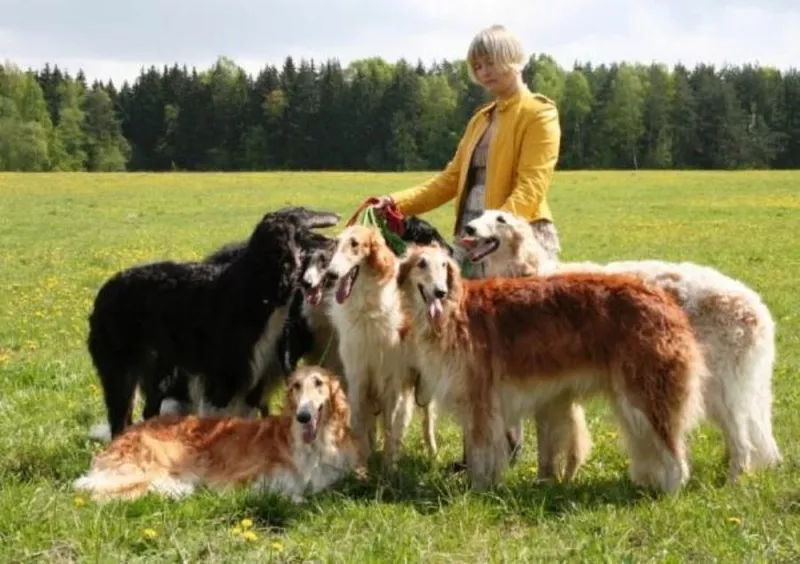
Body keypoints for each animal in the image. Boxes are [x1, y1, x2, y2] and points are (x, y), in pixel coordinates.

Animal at [73, 364, 364, 504]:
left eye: (319, 383)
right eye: (295, 387)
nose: (303, 416)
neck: (312, 447)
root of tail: (126, 433)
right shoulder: (239, 481)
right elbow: (290, 495)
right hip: (149, 468)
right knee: (95, 494)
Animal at [86, 205, 340, 438]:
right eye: (303, 215)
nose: (337, 217)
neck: (258, 287)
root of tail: (104, 291)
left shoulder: (252, 380)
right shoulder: (223, 379)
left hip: (159, 371)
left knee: (148, 412)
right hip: (121, 373)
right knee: (120, 421)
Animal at [322, 225, 440, 468]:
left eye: (355, 244)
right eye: (336, 243)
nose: (330, 275)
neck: (367, 311)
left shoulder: (390, 380)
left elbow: (389, 426)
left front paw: (388, 466)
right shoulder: (358, 376)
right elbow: (360, 423)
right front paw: (361, 466)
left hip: (423, 385)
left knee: (426, 421)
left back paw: (431, 454)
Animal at [398, 246, 708, 494]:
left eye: (444, 266)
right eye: (421, 263)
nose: (439, 292)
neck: (453, 314)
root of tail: (664, 300)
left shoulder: (480, 400)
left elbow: (480, 454)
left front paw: (477, 489)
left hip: (645, 396)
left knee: (674, 454)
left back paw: (669, 493)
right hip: (631, 403)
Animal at [462, 209, 780, 482]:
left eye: (500, 219)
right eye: (480, 215)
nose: (468, 228)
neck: (532, 272)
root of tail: (756, 306)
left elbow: (552, 443)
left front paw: (549, 479)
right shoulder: (555, 389)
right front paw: (557, 478)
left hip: (719, 388)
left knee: (742, 442)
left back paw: (733, 479)